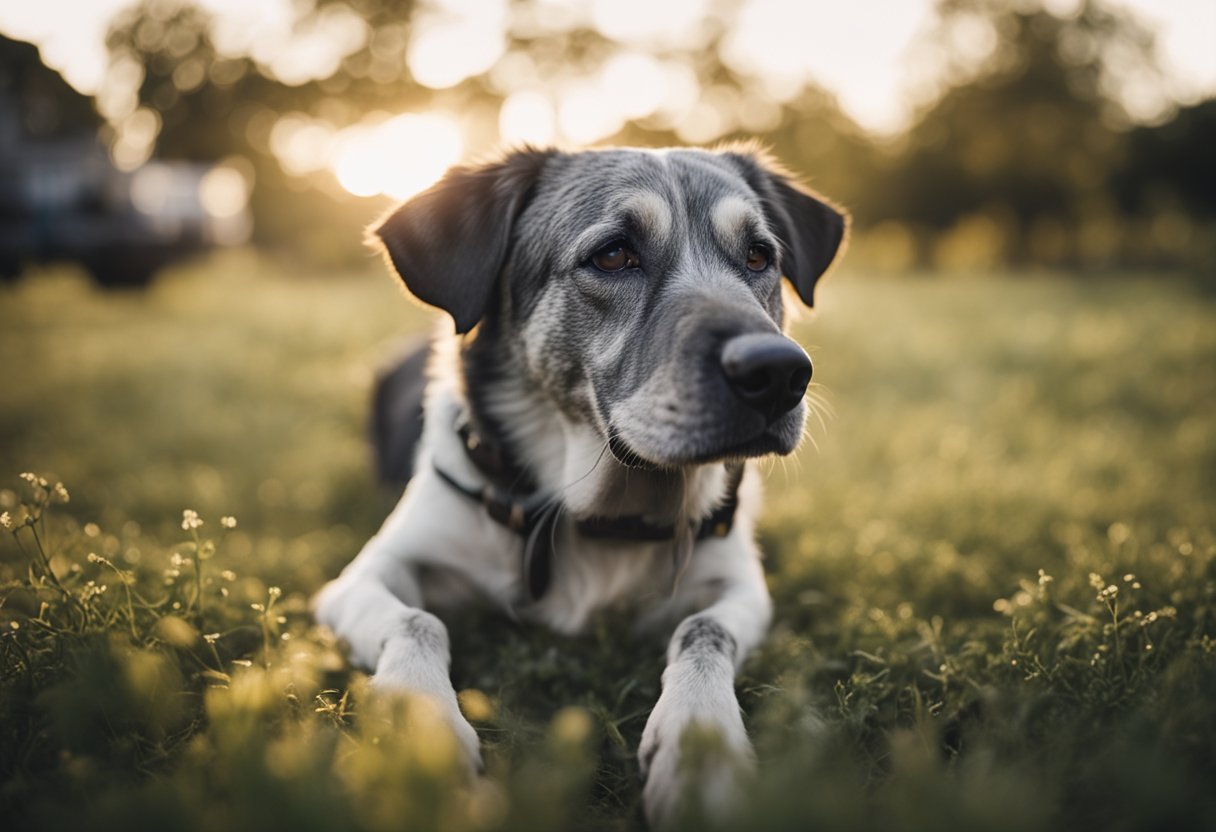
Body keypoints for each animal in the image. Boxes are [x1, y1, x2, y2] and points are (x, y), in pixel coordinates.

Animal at [313, 144, 846, 827]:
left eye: (758, 256)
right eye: (613, 255)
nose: (779, 373)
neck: (602, 512)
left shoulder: (740, 587)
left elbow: (703, 631)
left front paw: (701, 751)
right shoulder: (361, 577)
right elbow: (417, 622)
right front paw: (423, 742)